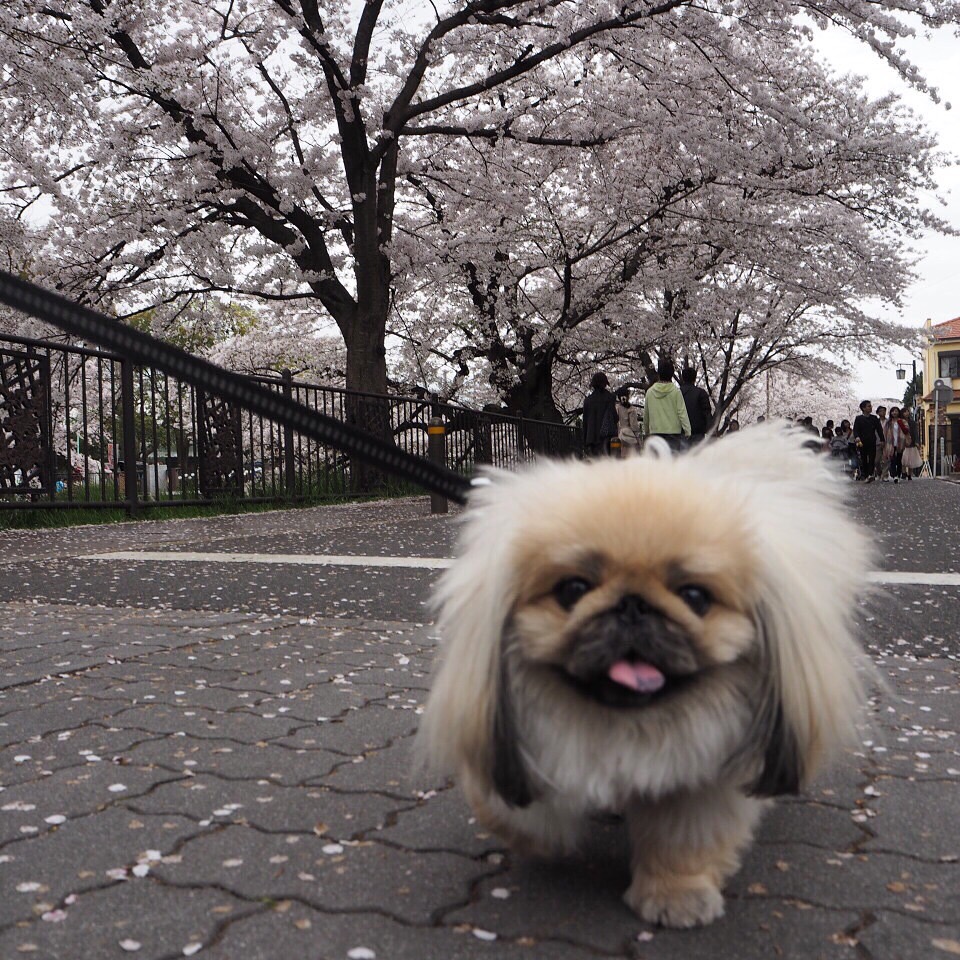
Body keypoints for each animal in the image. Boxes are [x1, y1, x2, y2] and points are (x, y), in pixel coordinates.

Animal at [416, 424, 872, 928]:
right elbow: (509, 806)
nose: (632, 605)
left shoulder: (705, 777)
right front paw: (537, 837)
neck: (626, 725)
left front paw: (676, 897)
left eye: (695, 597)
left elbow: (681, 843)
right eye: (572, 590)